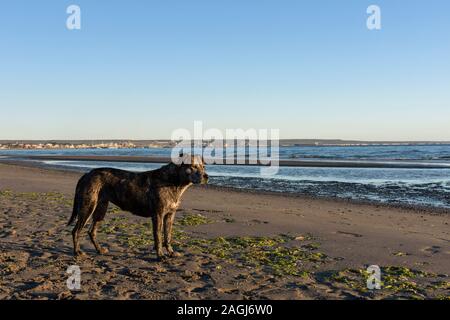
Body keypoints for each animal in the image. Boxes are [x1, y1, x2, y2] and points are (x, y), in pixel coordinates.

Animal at [67, 155, 208, 260]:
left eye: (203, 166)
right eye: (193, 166)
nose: (206, 176)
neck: (173, 181)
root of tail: (86, 174)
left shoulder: (170, 215)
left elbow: (168, 236)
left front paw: (171, 253)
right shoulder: (158, 215)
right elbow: (158, 237)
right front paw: (160, 255)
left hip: (101, 209)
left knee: (92, 232)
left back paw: (99, 250)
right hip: (87, 207)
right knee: (76, 231)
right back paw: (77, 252)